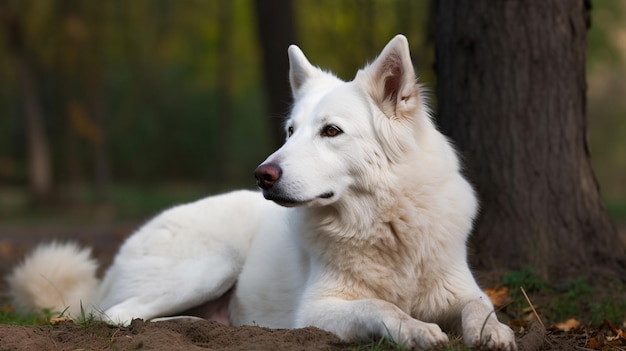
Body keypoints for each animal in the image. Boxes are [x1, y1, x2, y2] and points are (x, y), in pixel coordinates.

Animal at [7, 35, 516, 351]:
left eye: (331, 131)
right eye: (290, 131)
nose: (262, 175)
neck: (383, 219)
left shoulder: (460, 287)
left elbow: (482, 306)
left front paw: (495, 333)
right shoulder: (320, 309)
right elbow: (382, 307)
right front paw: (416, 330)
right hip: (212, 264)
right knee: (113, 316)